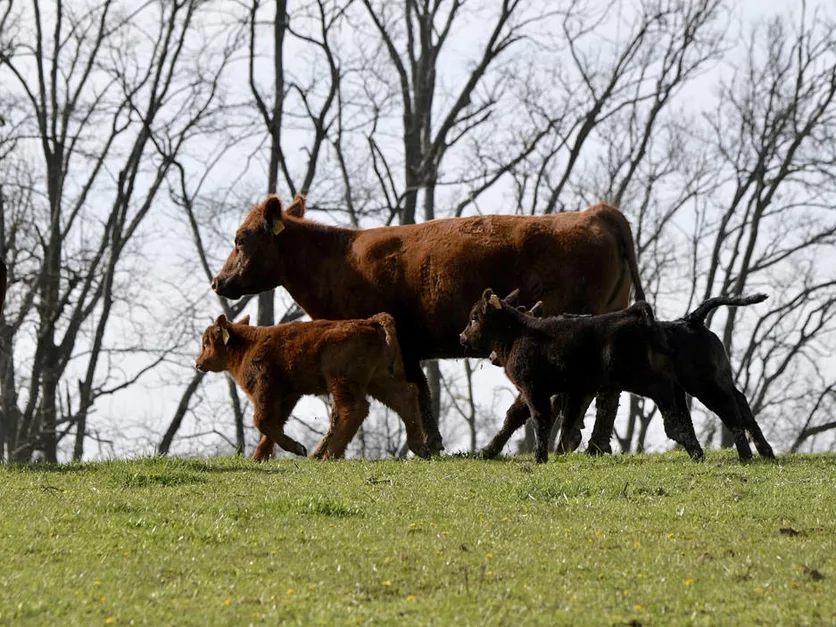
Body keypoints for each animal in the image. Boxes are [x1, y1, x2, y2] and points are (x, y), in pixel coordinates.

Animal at [194, 312, 431, 461]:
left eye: (207, 343)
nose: (198, 363)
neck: (248, 345)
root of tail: (372, 321)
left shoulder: (266, 391)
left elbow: (261, 421)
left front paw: (296, 448)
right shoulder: (287, 395)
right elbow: (274, 424)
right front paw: (258, 457)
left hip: (341, 381)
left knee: (354, 410)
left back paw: (329, 454)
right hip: (377, 380)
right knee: (405, 396)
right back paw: (419, 447)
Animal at [210, 194, 646, 454]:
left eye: (241, 239)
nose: (218, 282)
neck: (338, 259)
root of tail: (597, 212)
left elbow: (413, 393)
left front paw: (426, 445)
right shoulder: (409, 347)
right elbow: (421, 391)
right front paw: (431, 443)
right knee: (607, 390)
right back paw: (591, 444)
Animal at [459, 289, 704, 464]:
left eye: (474, 317)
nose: (462, 337)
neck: (518, 334)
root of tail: (634, 312)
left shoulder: (533, 388)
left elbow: (541, 419)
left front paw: (540, 457)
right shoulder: (568, 389)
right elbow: (559, 419)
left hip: (638, 375)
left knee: (666, 390)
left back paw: (683, 437)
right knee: (676, 391)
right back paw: (694, 447)